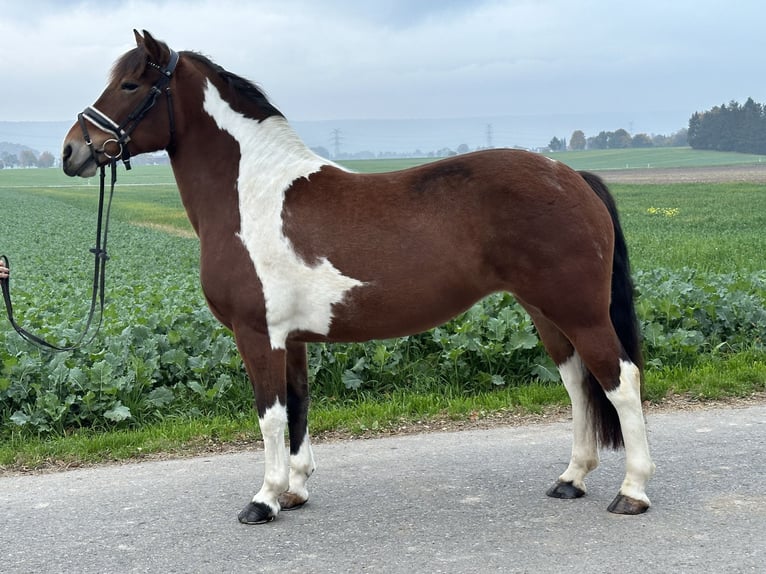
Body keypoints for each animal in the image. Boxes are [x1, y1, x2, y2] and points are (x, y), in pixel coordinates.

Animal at [63, 31, 656, 528]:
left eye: (130, 84)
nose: (72, 150)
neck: (251, 193)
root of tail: (570, 175)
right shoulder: (291, 340)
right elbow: (298, 406)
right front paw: (294, 491)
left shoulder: (258, 336)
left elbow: (269, 415)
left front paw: (263, 499)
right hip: (546, 313)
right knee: (579, 385)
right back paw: (570, 479)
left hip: (579, 310)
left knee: (620, 380)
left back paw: (632, 491)